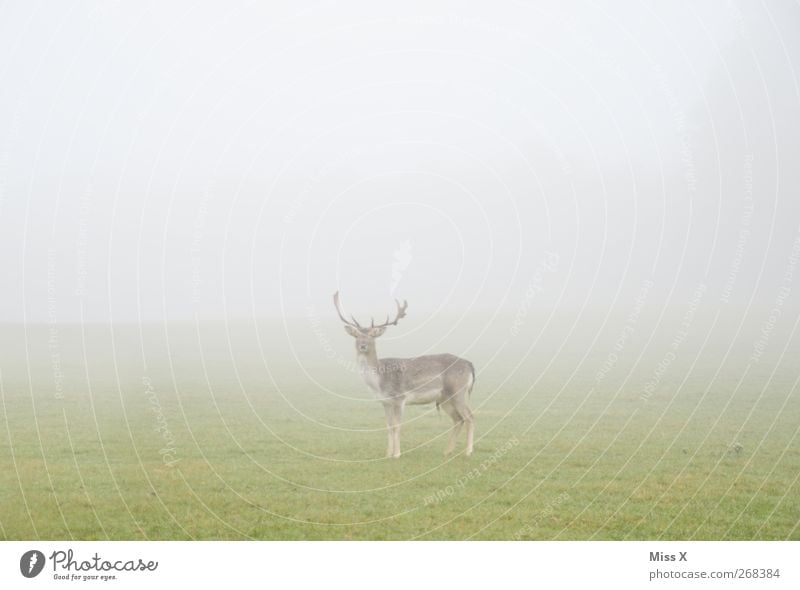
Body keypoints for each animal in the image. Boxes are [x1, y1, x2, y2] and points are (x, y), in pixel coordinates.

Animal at [332, 294, 476, 460]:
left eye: (373, 335)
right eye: (356, 335)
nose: (363, 345)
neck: (379, 382)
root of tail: (469, 364)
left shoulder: (400, 398)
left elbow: (397, 426)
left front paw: (397, 454)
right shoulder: (385, 402)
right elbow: (388, 426)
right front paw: (387, 454)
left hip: (458, 391)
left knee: (470, 416)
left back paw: (468, 452)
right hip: (445, 398)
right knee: (458, 419)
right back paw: (447, 451)